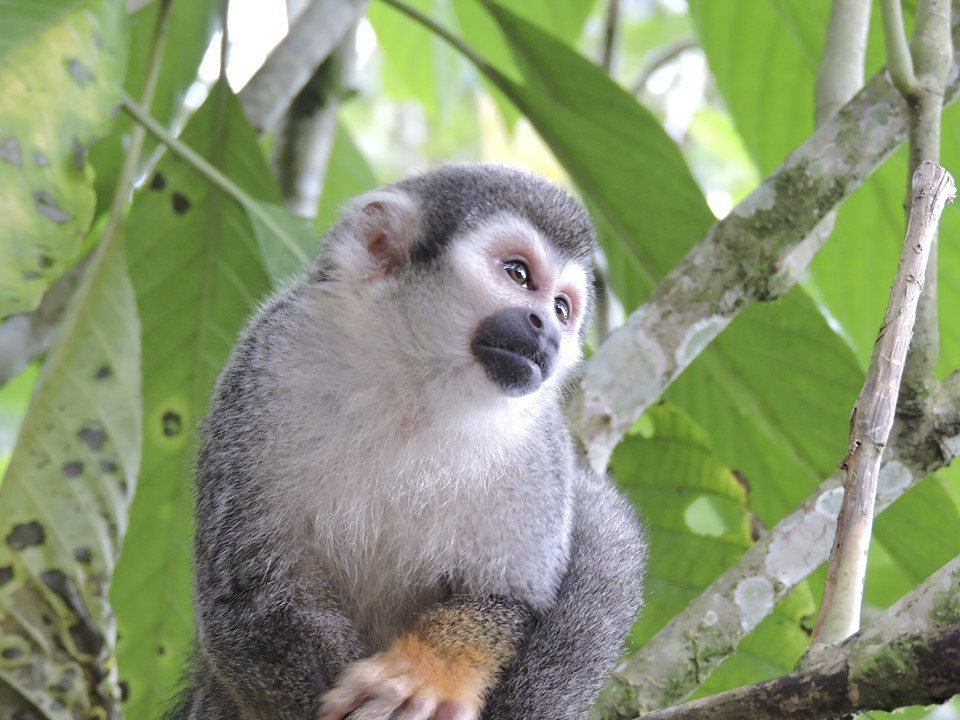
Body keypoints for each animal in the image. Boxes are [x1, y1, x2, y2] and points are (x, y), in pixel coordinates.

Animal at [175, 163, 645, 720]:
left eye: (561, 308)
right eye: (518, 274)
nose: (547, 331)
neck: (418, 388)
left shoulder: (541, 446)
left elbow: (511, 600)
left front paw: (431, 667)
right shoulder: (271, 360)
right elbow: (247, 597)